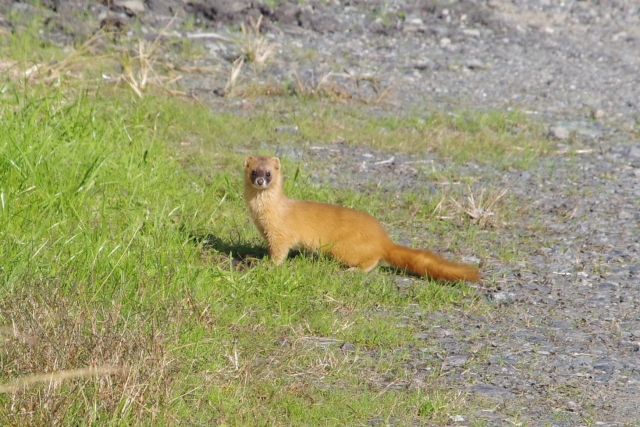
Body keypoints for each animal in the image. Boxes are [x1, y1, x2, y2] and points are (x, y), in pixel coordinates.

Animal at [245, 155, 480, 282]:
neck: (265, 215)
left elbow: (279, 253)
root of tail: (383, 238)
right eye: (254, 171)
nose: (260, 180)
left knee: (372, 259)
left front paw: (267, 265)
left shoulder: (280, 234)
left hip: (343, 248)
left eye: (268, 173)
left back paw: (353, 270)